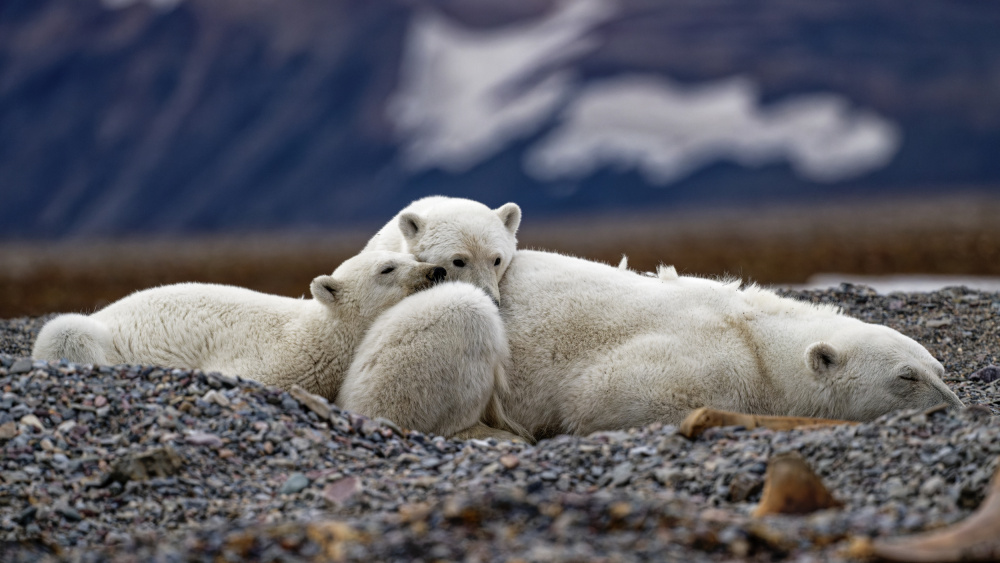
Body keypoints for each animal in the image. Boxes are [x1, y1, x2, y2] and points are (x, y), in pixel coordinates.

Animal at [34, 253, 446, 404]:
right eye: (387, 268)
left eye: (411, 256)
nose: (436, 271)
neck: (315, 334)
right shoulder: (271, 359)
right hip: (87, 333)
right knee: (66, 331)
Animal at [500, 251, 968, 440]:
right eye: (906, 376)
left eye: (940, 369)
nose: (958, 409)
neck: (756, 344)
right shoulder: (696, 364)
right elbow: (600, 396)